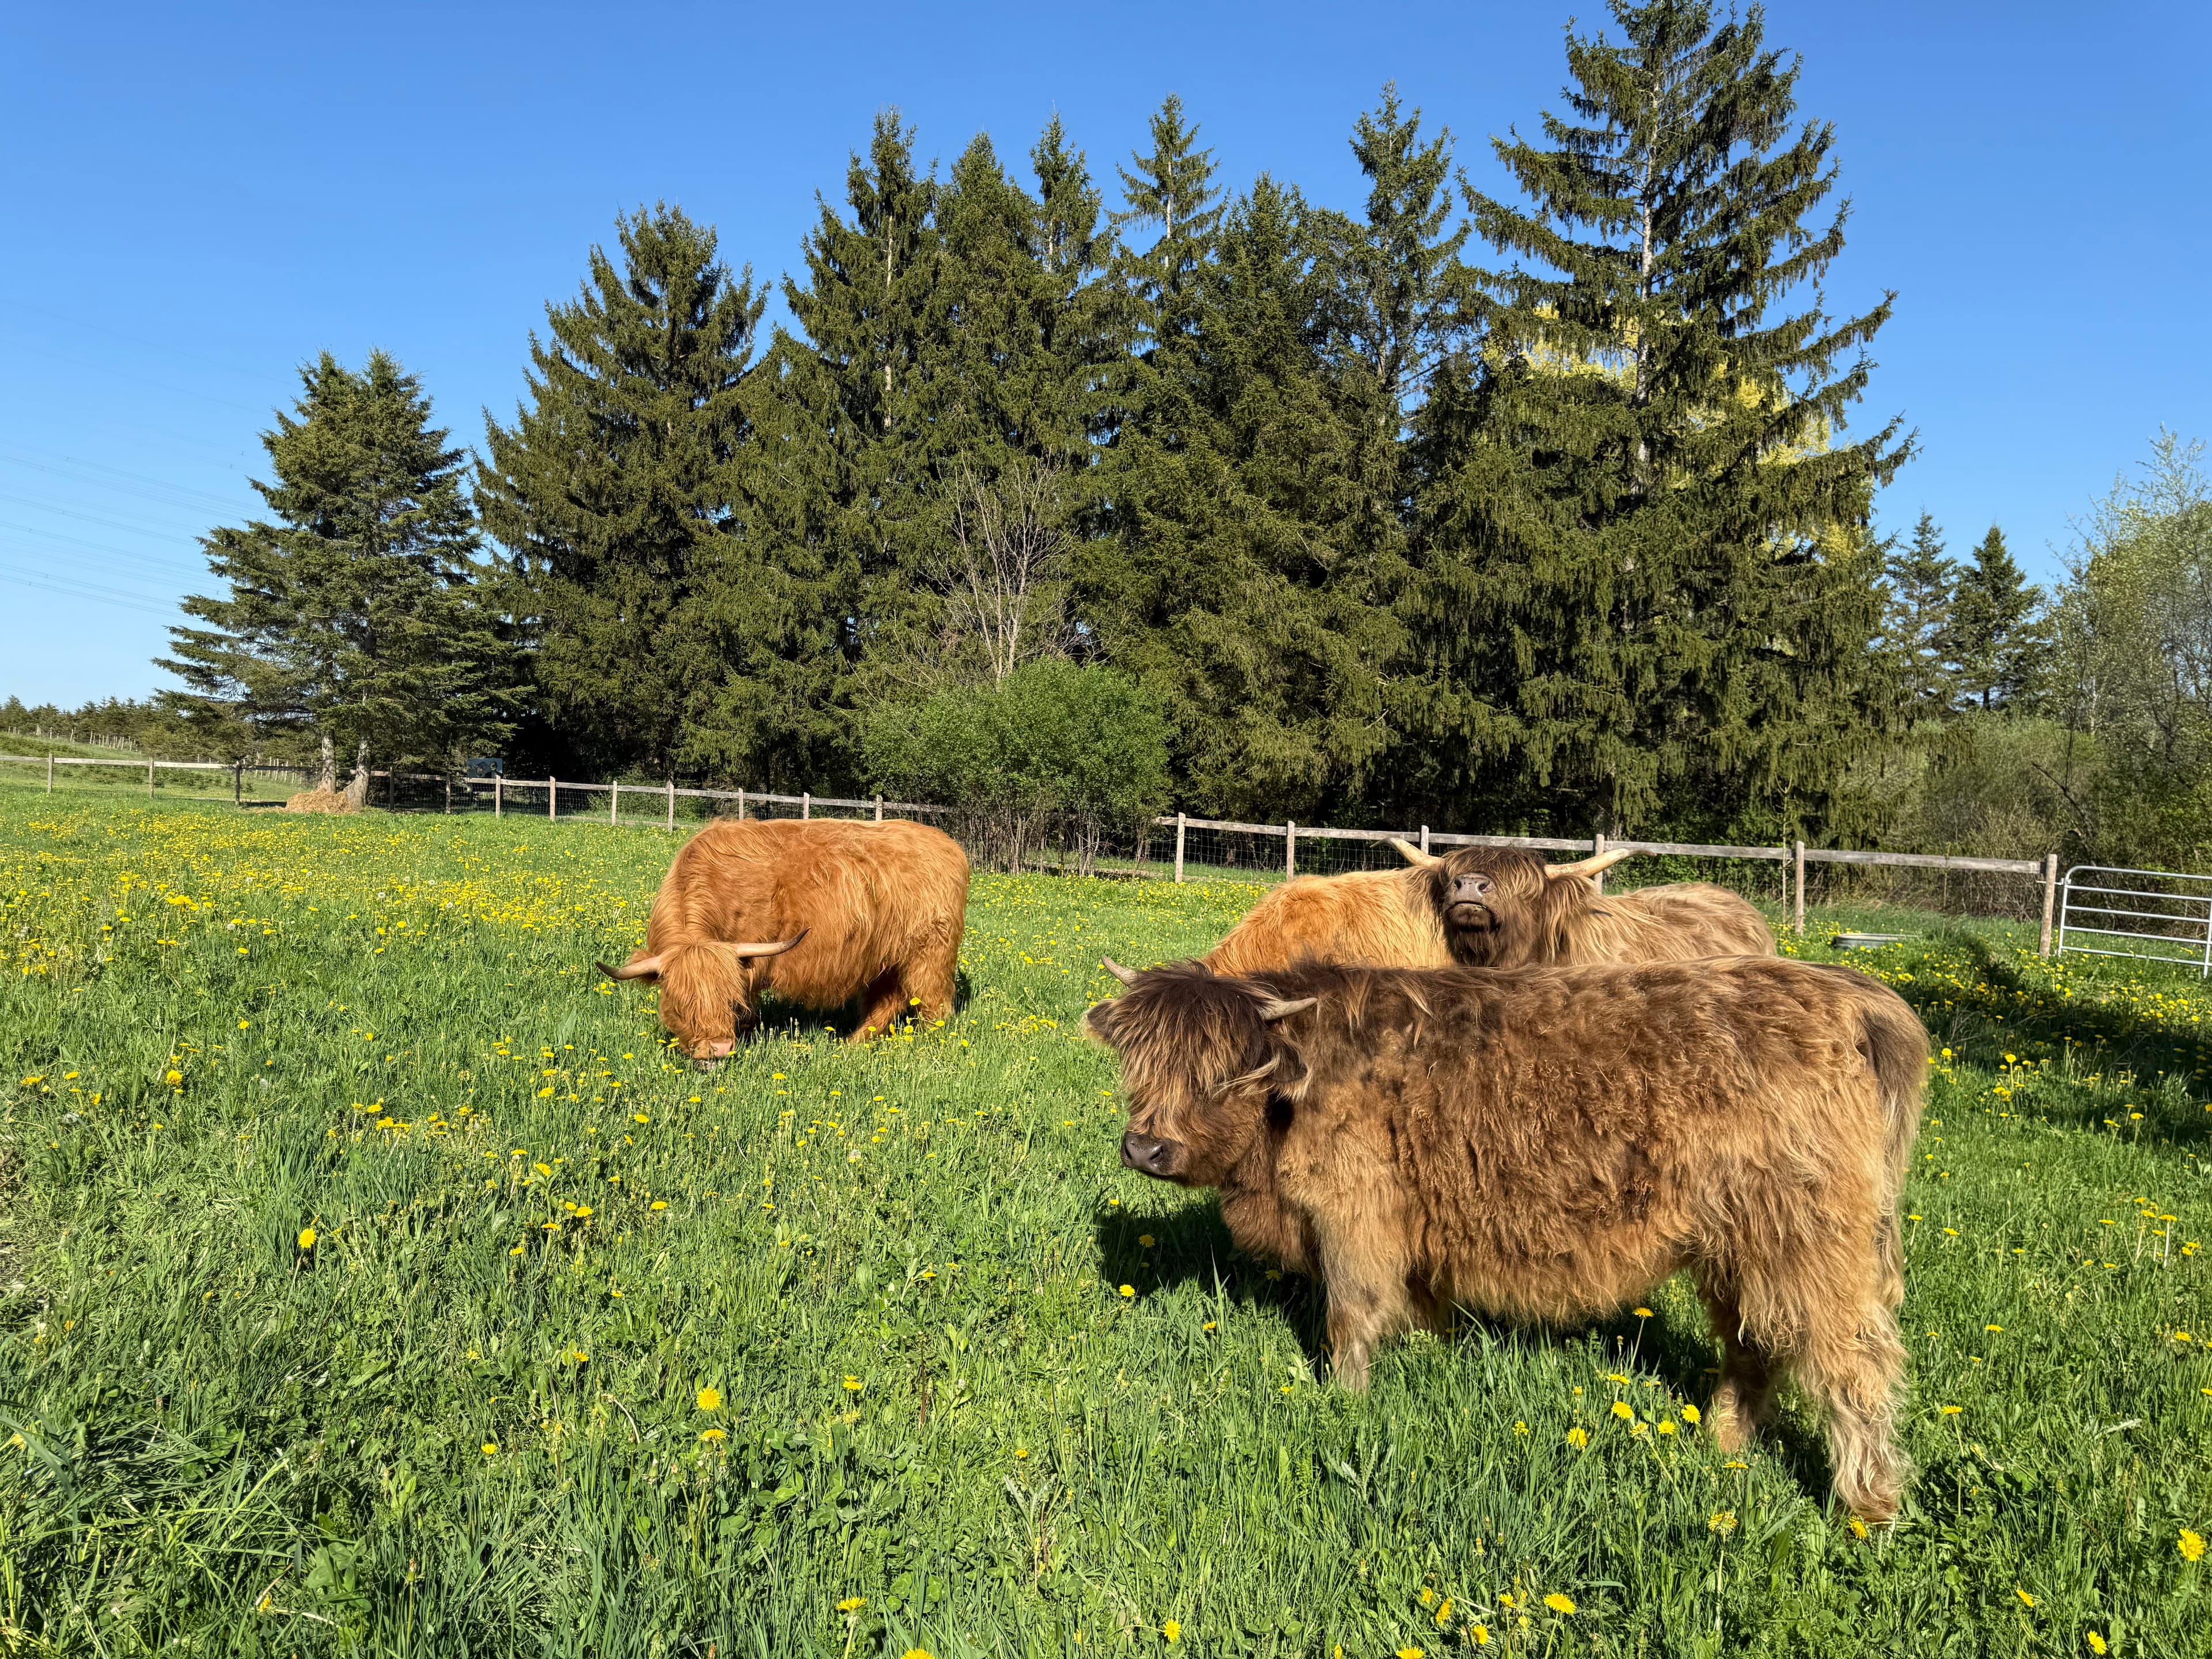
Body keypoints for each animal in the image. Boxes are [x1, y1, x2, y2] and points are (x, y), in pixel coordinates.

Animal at [597, 817, 968, 1057]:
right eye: (680, 1004)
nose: (718, 1049)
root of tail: (947, 843)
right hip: (882, 957)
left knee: (935, 1002)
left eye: (729, 1001)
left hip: (931, 953)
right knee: (887, 999)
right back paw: (853, 1043)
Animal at [1085, 953, 1925, 1522]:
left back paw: (1867, 1503)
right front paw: (1430, 1357)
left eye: (1224, 1072)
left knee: (1852, 1362)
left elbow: (1349, 1316)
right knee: (1752, 1346)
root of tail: (1851, 997)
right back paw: (1721, 1442)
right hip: (1735, 1243)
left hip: (1808, 1240)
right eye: (1140, 1063)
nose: (1145, 1148)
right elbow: (1417, 1310)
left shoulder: (1354, 1216)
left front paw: (1345, 1405)